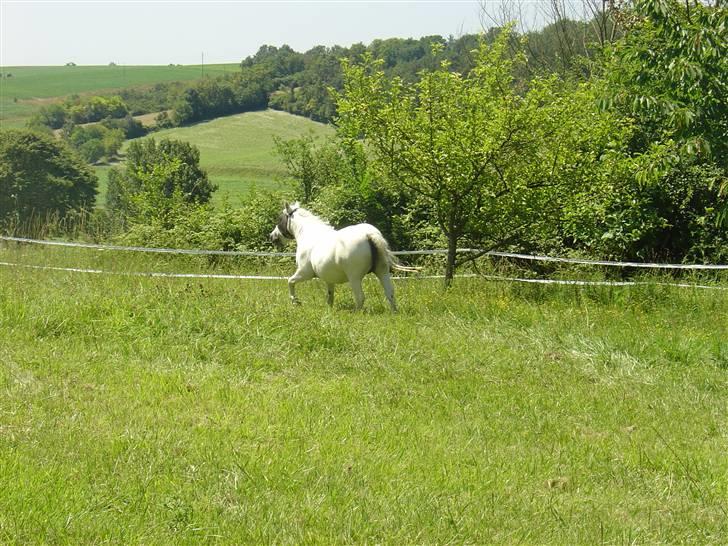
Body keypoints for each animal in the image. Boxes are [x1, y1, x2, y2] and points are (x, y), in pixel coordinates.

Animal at [268, 201, 416, 310]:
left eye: (280, 219)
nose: (273, 237)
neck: (309, 234)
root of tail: (369, 235)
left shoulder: (304, 273)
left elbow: (290, 281)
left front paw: (295, 302)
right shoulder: (328, 278)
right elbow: (330, 295)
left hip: (354, 277)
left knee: (360, 297)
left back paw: (357, 312)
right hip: (382, 271)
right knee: (390, 293)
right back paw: (394, 312)